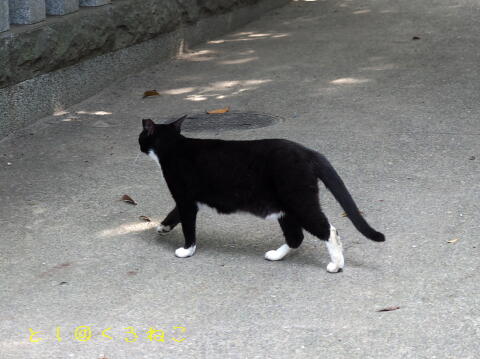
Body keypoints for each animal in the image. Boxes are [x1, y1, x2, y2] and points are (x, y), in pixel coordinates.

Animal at [138, 115, 382, 272]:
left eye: (141, 135)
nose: (138, 143)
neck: (175, 146)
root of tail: (309, 152)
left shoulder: (185, 198)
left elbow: (188, 225)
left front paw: (187, 250)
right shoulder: (189, 199)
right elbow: (175, 213)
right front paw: (163, 226)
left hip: (298, 200)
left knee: (328, 230)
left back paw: (336, 265)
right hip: (284, 208)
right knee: (296, 237)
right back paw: (275, 255)